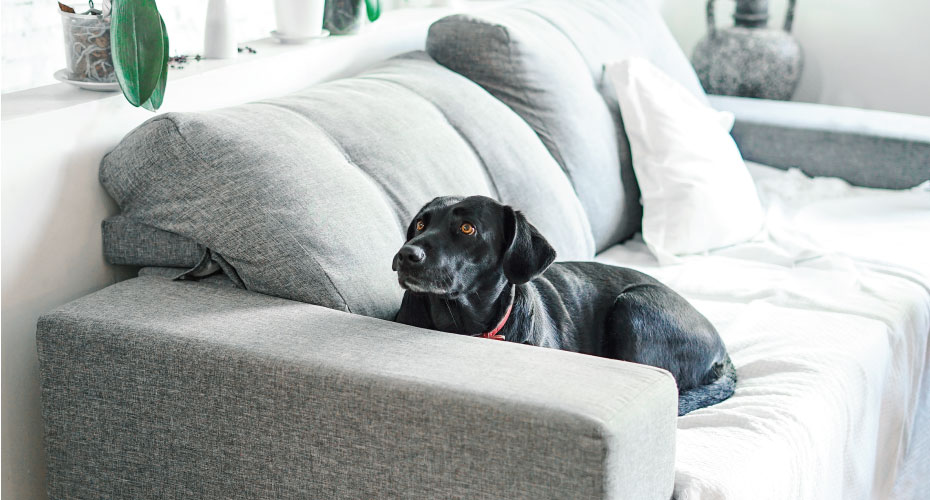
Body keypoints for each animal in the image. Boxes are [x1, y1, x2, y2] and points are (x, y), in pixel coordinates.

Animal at [390, 194, 732, 414]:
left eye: (467, 228)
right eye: (420, 224)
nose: (406, 254)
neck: (466, 323)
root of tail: (723, 351)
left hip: (634, 306)